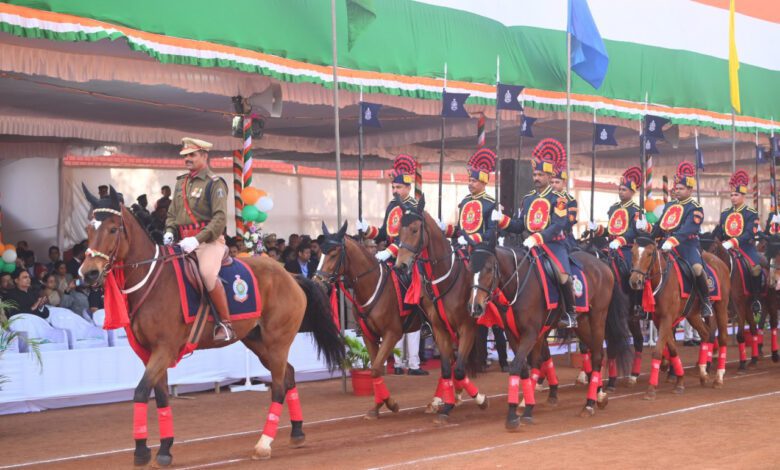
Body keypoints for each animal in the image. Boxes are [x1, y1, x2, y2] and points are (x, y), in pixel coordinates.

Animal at [77, 185, 342, 464]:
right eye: (89, 229)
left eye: (112, 229)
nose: (88, 273)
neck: (151, 281)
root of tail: (290, 274)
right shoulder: (150, 353)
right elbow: (160, 396)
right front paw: (164, 449)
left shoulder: (164, 349)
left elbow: (140, 391)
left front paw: (141, 451)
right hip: (257, 341)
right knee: (289, 375)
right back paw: (297, 431)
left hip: (277, 341)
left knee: (279, 385)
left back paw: (264, 444)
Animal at [314, 221, 420, 418]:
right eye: (319, 254)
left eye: (333, 254)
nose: (317, 284)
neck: (371, 285)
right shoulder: (368, 335)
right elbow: (374, 370)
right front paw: (378, 406)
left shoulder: (392, 333)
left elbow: (377, 368)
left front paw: (390, 404)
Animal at [396, 196, 488, 424]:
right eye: (399, 231)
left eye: (415, 230)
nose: (401, 266)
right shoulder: (440, 328)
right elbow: (448, 368)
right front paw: (447, 404)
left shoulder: (467, 328)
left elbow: (460, 369)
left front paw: (479, 398)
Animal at [466, 239, 632, 430]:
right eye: (469, 268)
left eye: (489, 269)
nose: (474, 307)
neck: (520, 283)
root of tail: (602, 264)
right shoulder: (514, 334)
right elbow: (524, 368)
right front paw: (525, 407)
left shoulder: (531, 333)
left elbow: (518, 366)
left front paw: (515, 414)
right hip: (582, 323)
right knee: (592, 351)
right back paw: (599, 395)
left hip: (598, 317)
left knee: (597, 355)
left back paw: (589, 404)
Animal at [628, 237, 732, 398]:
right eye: (632, 252)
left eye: (650, 254)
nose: (635, 281)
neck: (661, 281)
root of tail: (720, 262)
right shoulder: (659, 320)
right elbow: (672, 349)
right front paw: (680, 381)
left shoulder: (666, 319)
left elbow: (657, 351)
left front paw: (651, 389)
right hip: (693, 314)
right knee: (706, 334)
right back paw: (703, 373)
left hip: (721, 307)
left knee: (722, 338)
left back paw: (718, 378)